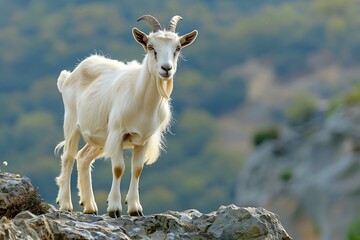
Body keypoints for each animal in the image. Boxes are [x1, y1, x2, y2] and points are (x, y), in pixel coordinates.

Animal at [54, 15, 197, 218]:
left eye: (177, 48)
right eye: (151, 47)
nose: (166, 68)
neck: (141, 101)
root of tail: (69, 76)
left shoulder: (143, 139)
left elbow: (137, 169)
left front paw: (135, 208)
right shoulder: (117, 133)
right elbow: (118, 168)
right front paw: (114, 208)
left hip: (99, 138)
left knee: (83, 157)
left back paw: (90, 206)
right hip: (72, 122)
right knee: (69, 156)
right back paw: (66, 204)